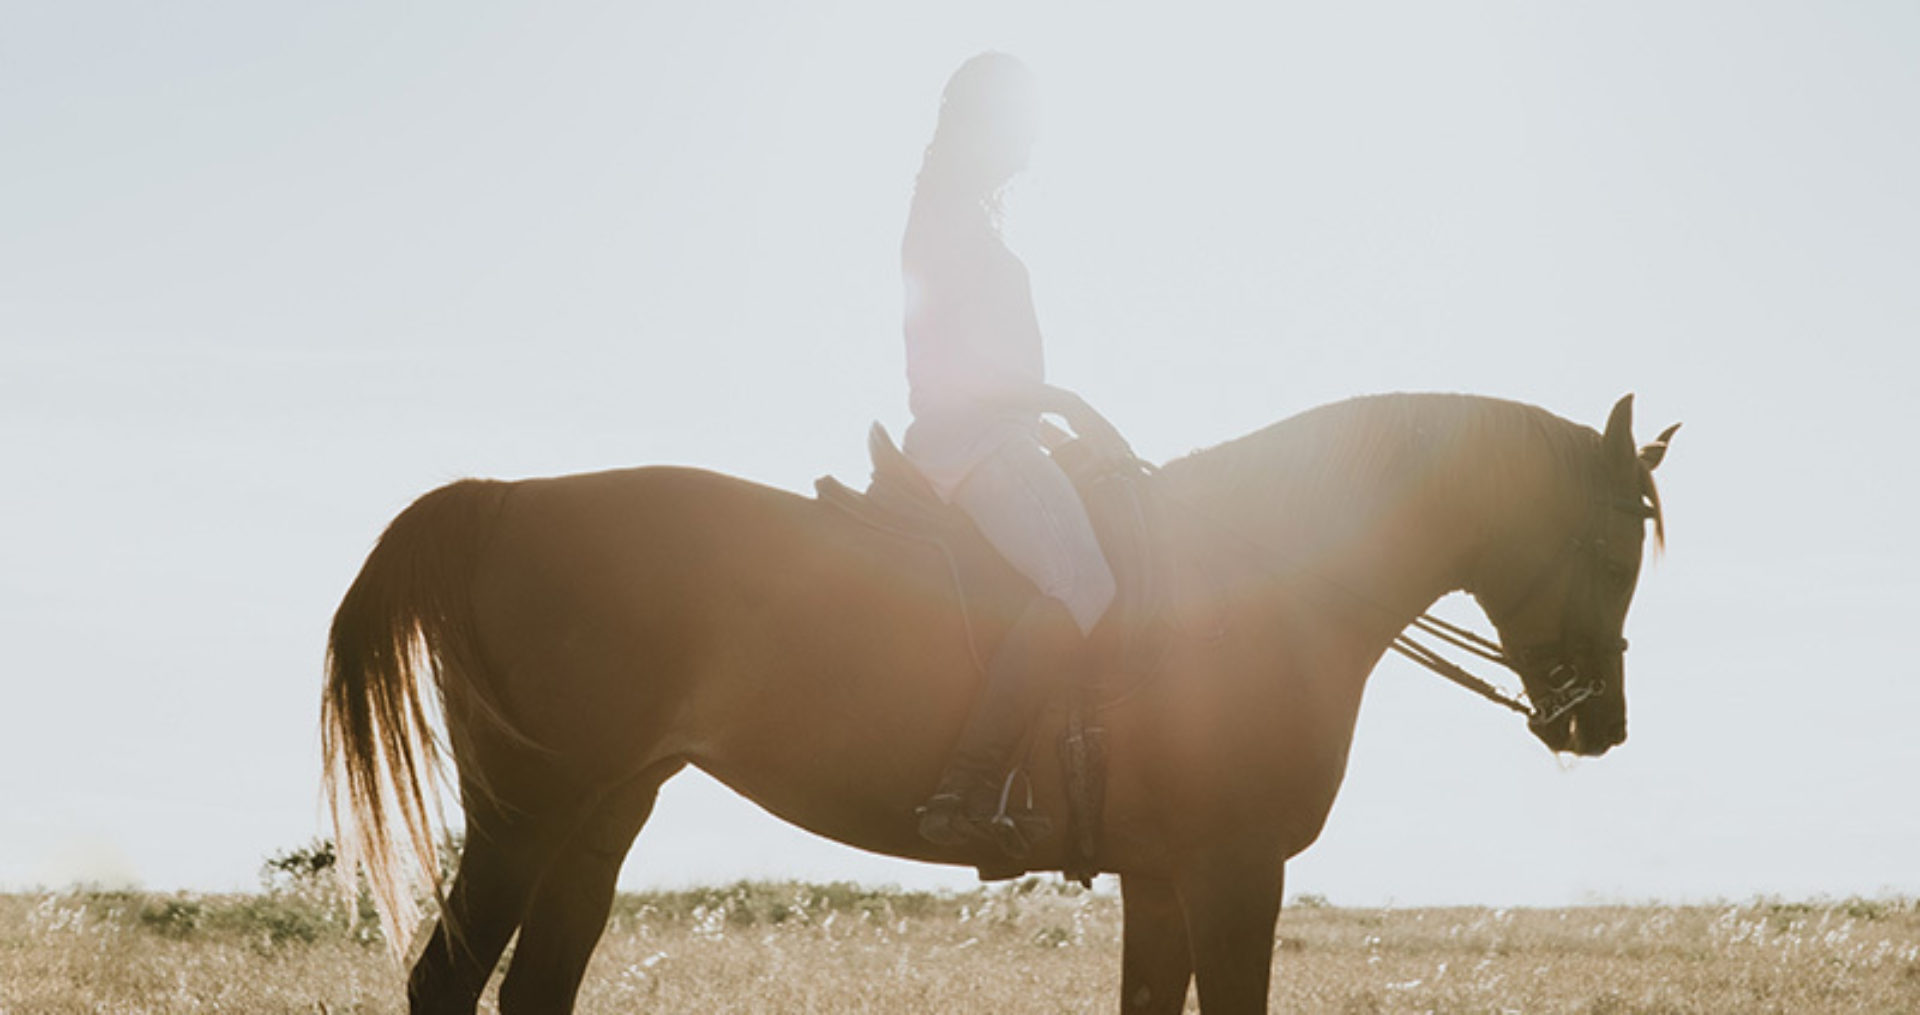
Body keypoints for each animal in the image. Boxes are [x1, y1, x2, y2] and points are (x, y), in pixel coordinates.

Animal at [322, 389, 1674, 1013]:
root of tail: (502, 499)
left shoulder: (1163, 876)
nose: (1598, 724)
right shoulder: (1234, 869)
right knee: (446, 980)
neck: (1259, 577)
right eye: (1617, 545)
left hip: (599, 815)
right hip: (523, 813)